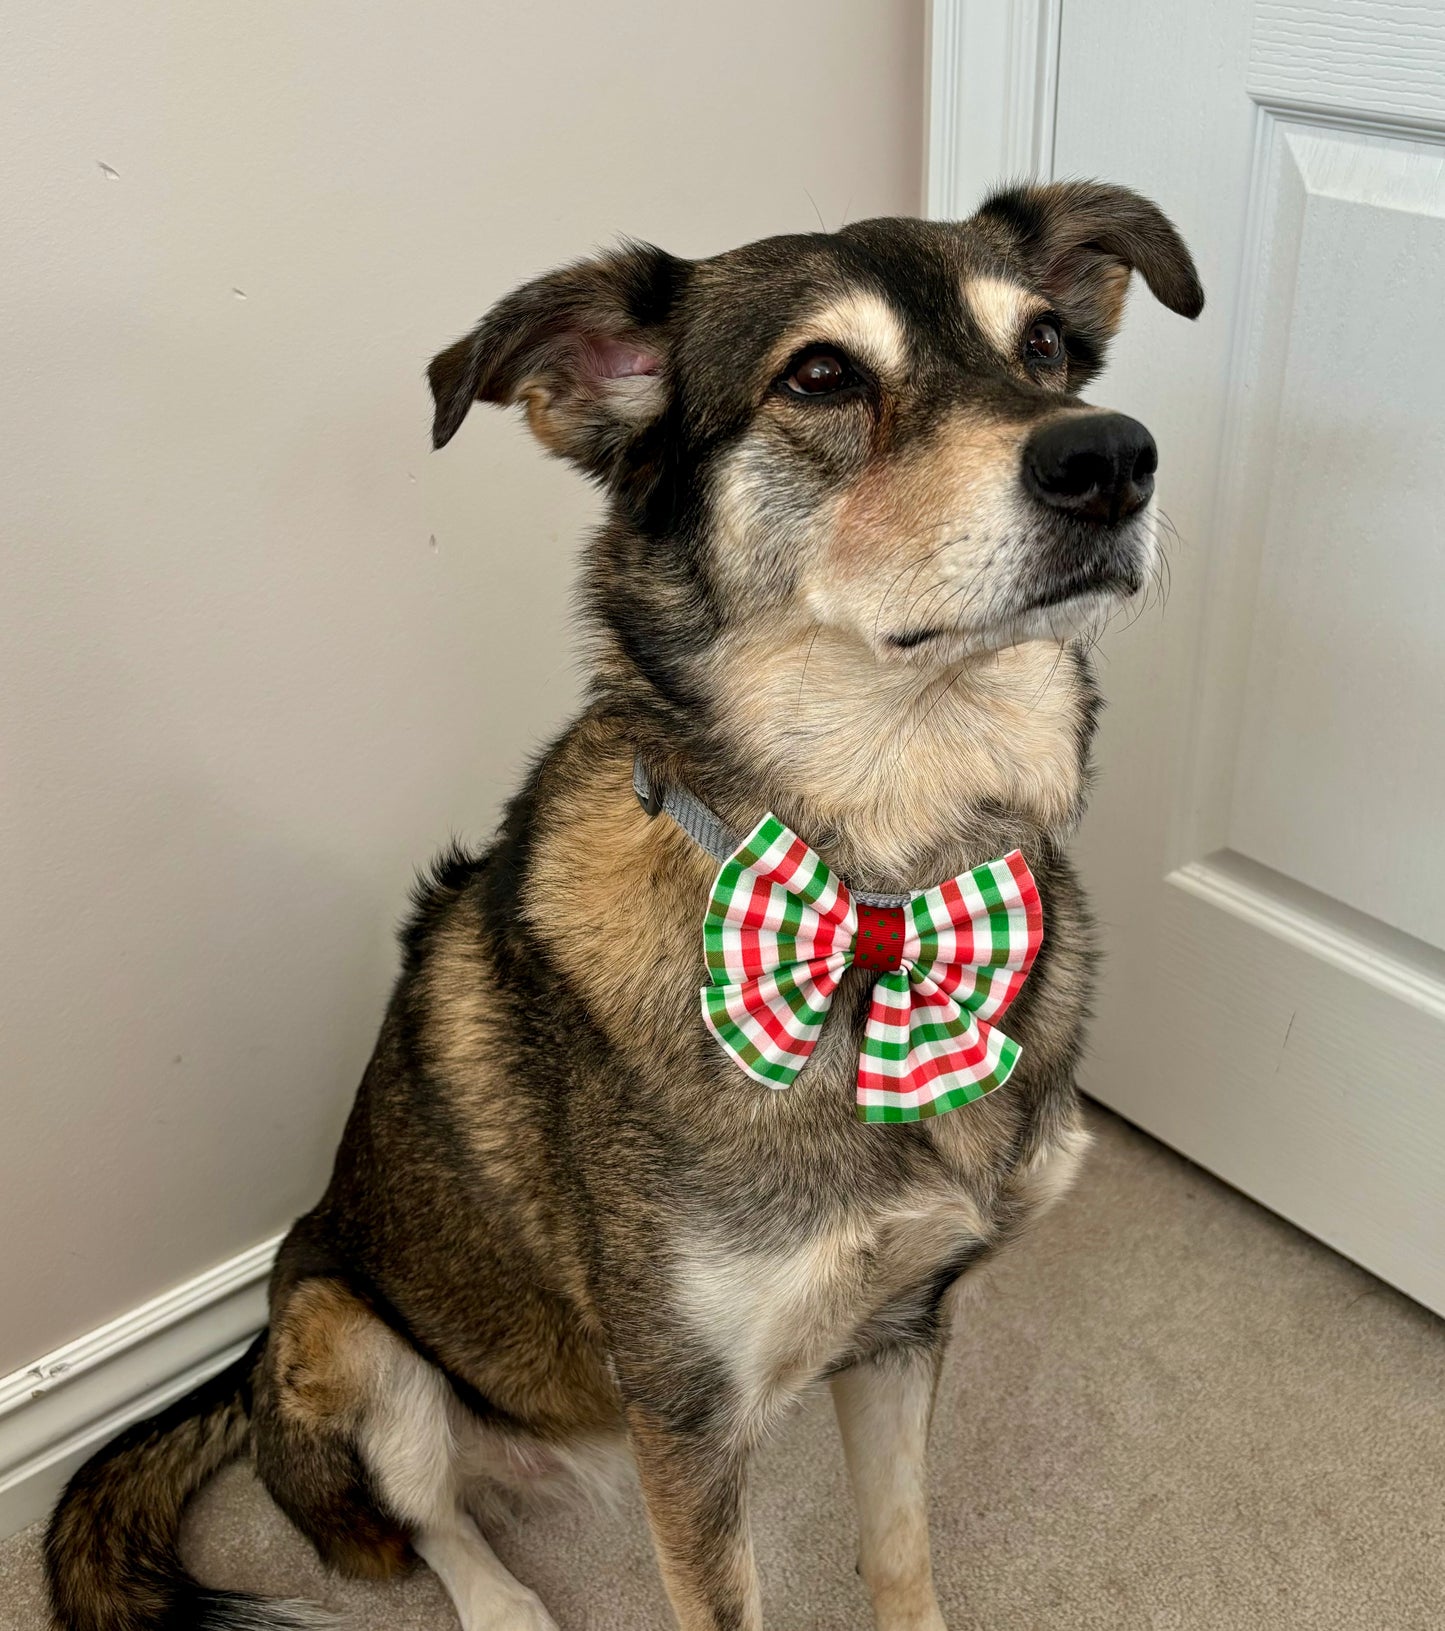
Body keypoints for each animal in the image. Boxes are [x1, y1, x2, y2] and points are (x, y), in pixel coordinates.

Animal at [45, 181, 1200, 1631]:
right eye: (819, 374)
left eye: (1044, 344)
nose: (1111, 457)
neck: (882, 880)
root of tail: (244, 1369)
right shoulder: (688, 1420)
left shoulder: (899, 1326)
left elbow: (900, 1551)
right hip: (348, 1336)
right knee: (428, 1522)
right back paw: (505, 1604)